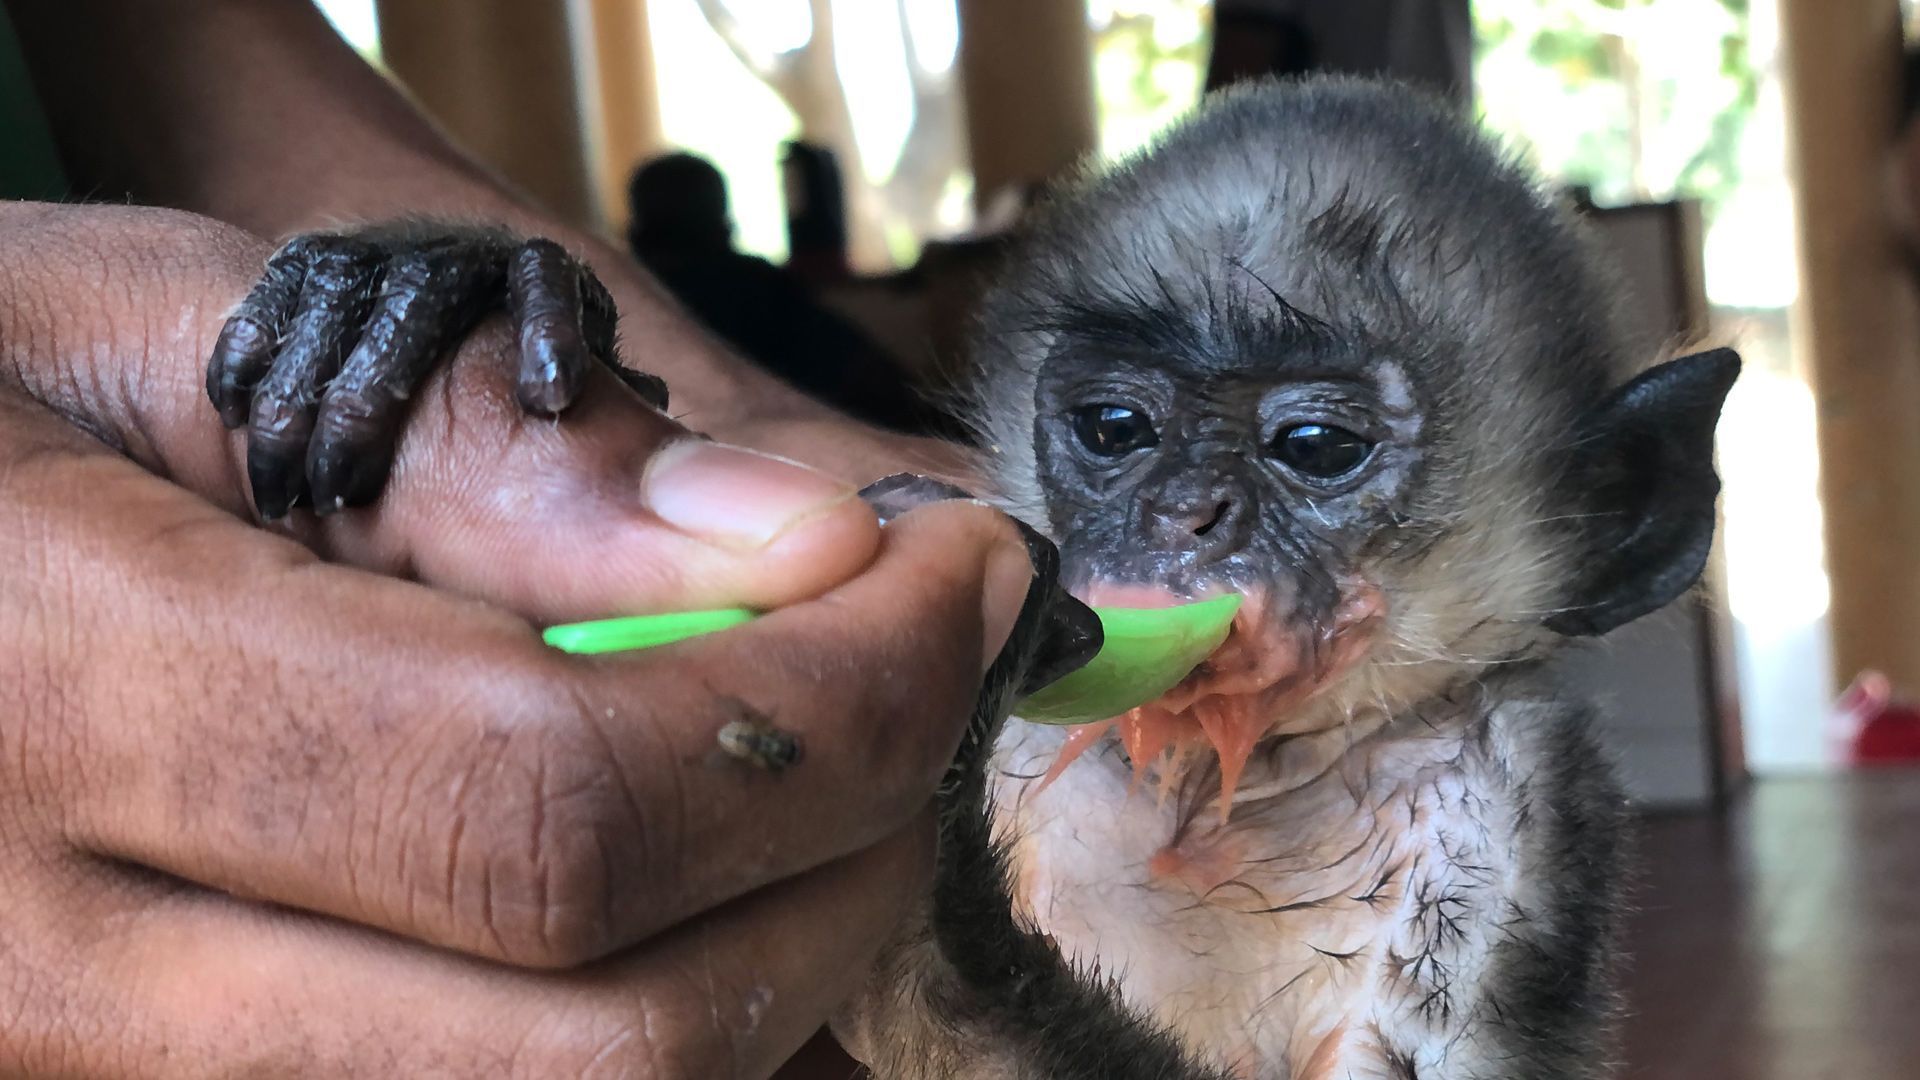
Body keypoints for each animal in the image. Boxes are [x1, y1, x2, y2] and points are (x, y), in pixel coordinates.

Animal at [210, 77, 1743, 1076]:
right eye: (1117, 430)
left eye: (1313, 449)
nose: (1182, 516)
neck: (1222, 796)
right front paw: (444, 286)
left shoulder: (1518, 803)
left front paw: (937, 859)